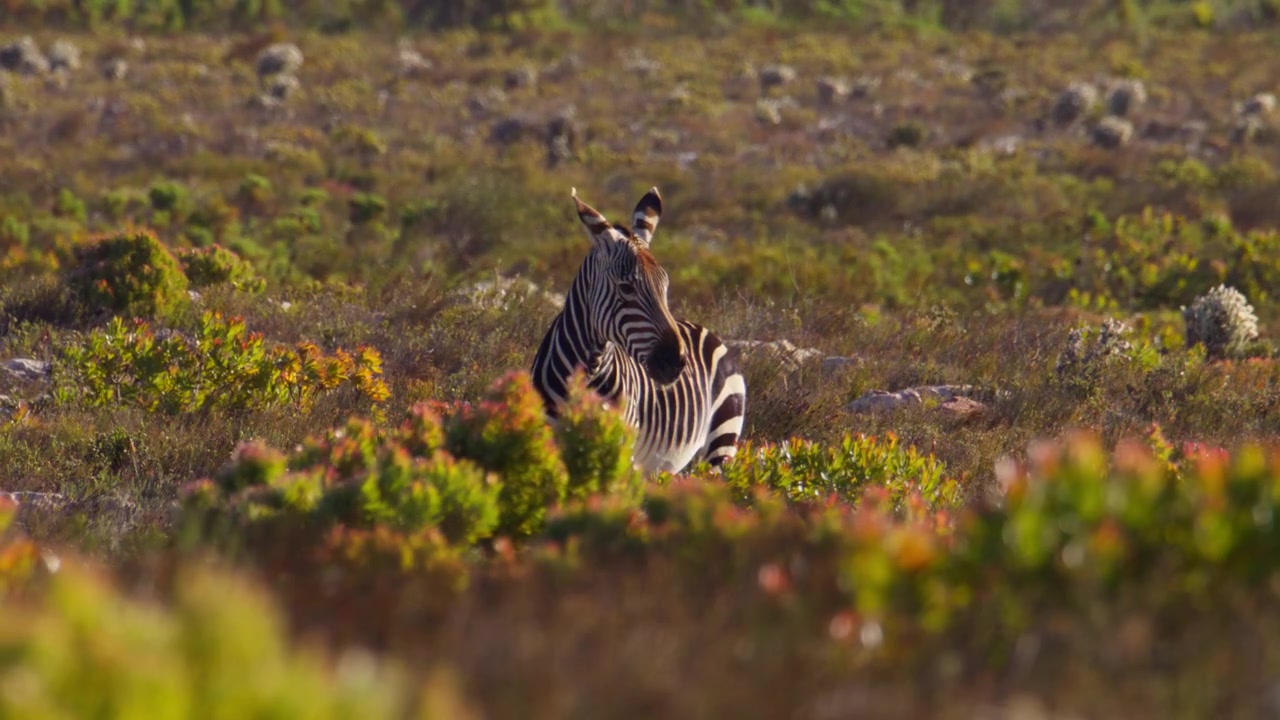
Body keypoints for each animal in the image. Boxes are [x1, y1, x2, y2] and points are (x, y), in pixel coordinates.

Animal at [531, 186, 747, 476]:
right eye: (626, 288)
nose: (675, 362)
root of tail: (708, 331)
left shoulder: (619, 443)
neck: (588, 371)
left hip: (720, 446)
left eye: (665, 287)